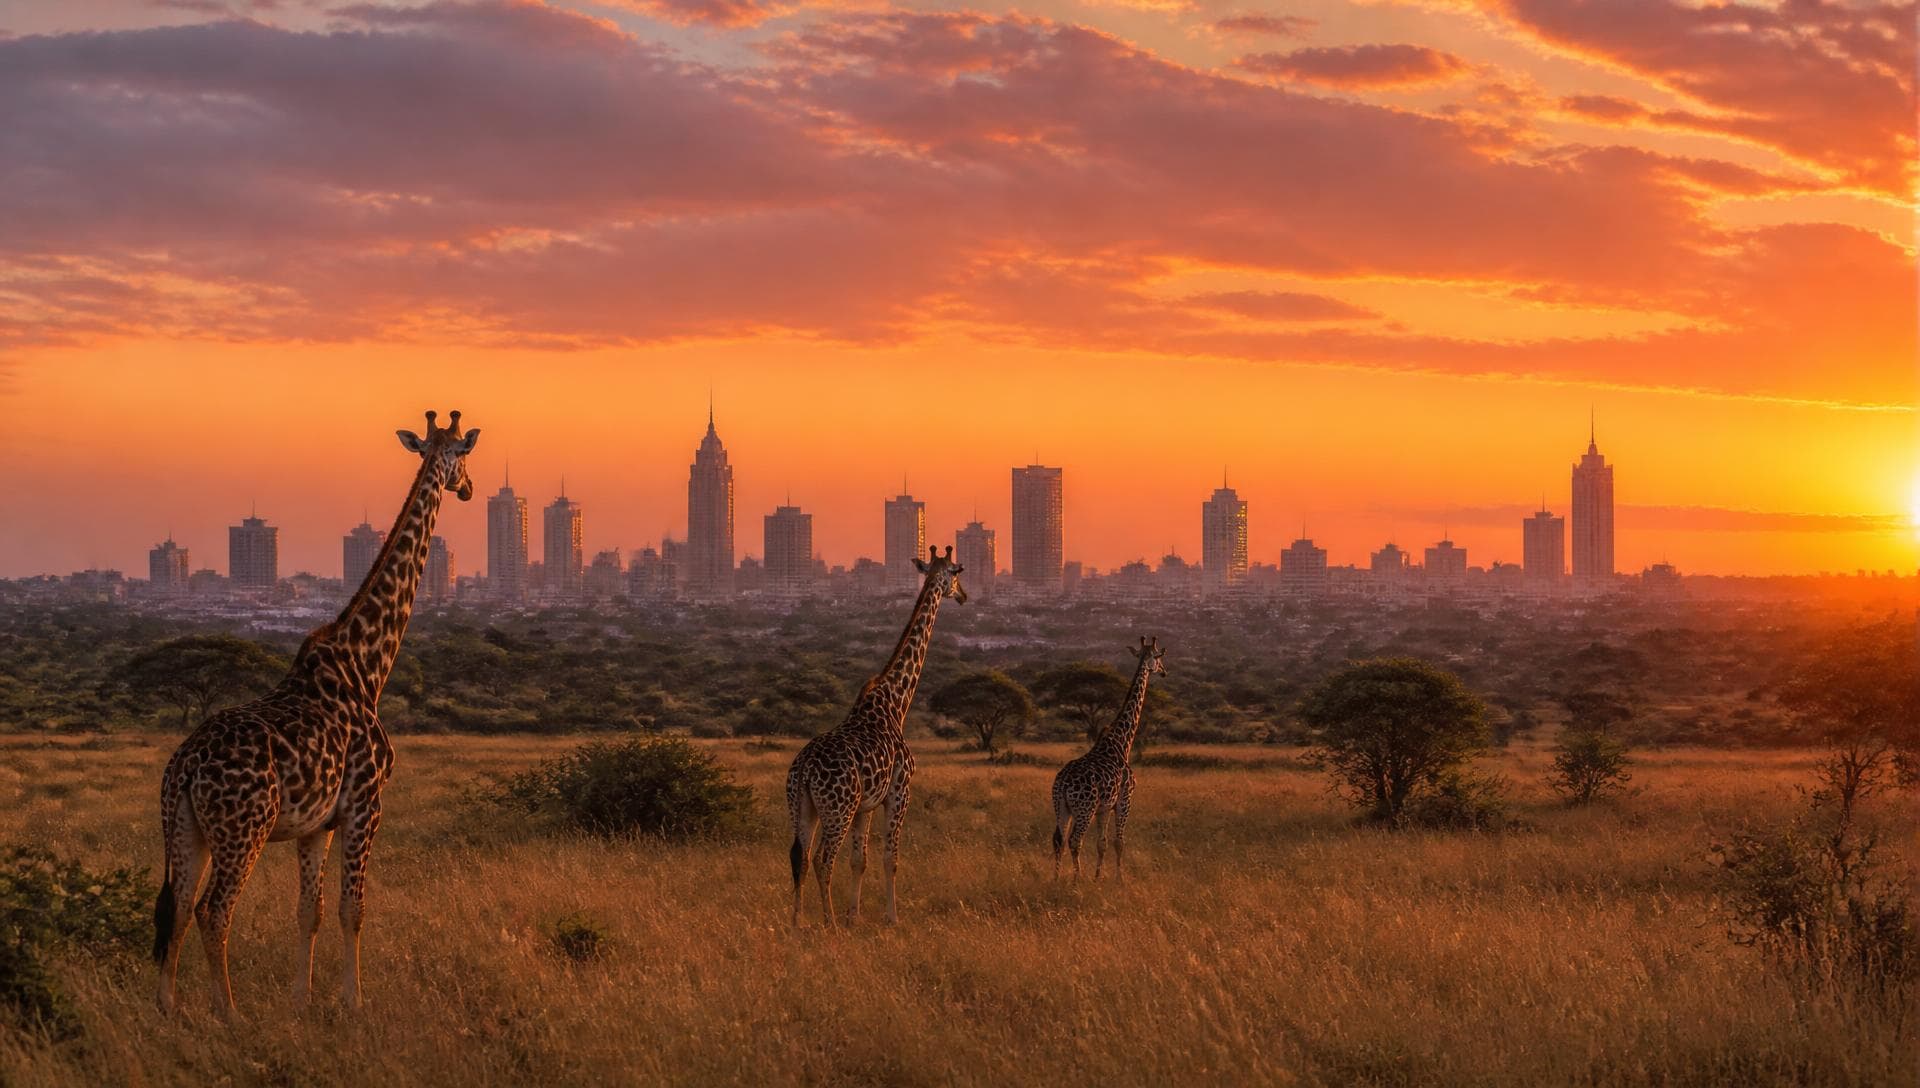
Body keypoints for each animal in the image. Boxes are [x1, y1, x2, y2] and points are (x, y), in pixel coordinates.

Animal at [152, 410, 480, 1016]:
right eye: (462, 456)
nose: (467, 488)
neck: (366, 666)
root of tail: (184, 768)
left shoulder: (315, 825)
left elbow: (310, 912)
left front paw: (301, 1000)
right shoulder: (365, 807)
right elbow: (354, 909)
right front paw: (354, 1000)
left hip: (184, 827)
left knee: (179, 906)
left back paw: (167, 1007)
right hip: (244, 830)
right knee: (214, 910)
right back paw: (227, 1010)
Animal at [787, 545, 967, 928]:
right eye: (956, 573)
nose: (963, 596)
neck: (896, 703)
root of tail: (805, 769)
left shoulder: (866, 804)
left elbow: (860, 860)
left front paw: (854, 916)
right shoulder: (900, 791)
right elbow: (890, 859)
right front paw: (891, 918)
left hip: (802, 805)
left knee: (800, 856)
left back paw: (798, 922)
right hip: (837, 808)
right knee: (823, 858)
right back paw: (829, 922)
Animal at [1051, 636, 1165, 882]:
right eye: (1159, 657)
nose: (1163, 672)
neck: (1123, 742)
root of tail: (1063, 783)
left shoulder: (1104, 808)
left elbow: (1101, 843)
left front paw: (1097, 877)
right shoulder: (1125, 799)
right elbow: (1118, 842)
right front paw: (1120, 879)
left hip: (1061, 807)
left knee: (1058, 840)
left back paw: (1055, 879)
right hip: (1084, 808)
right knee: (1075, 840)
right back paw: (1076, 880)